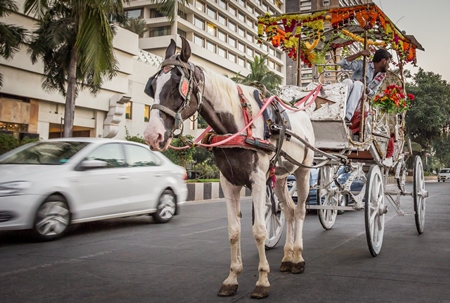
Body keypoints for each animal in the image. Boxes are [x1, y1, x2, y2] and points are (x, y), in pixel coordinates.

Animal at [142, 36, 314, 300]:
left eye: (177, 86)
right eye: (152, 85)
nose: (153, 136)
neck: (237, 124)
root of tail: (304, 115)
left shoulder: (256, 180)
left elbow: (259, 231)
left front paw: (262, 281)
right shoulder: (228, 182)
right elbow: (233, 231)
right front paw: (232, 278)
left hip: (303, 171)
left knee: (302, 210)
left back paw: (299, 257)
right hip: (282, 176)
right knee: (289, 211)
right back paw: (288, 257)